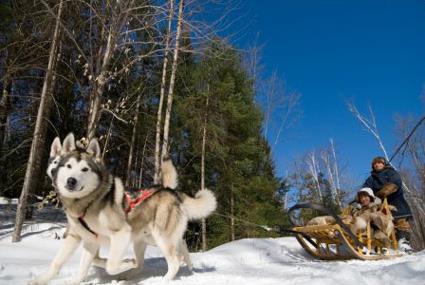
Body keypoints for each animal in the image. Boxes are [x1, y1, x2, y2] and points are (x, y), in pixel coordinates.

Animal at [31, 133, 215, 284]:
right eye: (68, 166)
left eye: (85, 169)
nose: (71, 180)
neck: (88, 202)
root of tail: (170, 191)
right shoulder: (84, 238)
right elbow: (61, 263)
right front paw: (42, 280)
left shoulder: (120, 234)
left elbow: (111, 265)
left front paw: (125, 262)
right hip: (146, 239)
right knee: (169, 250)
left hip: (159, 237)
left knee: (174, 261)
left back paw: (162, 279)